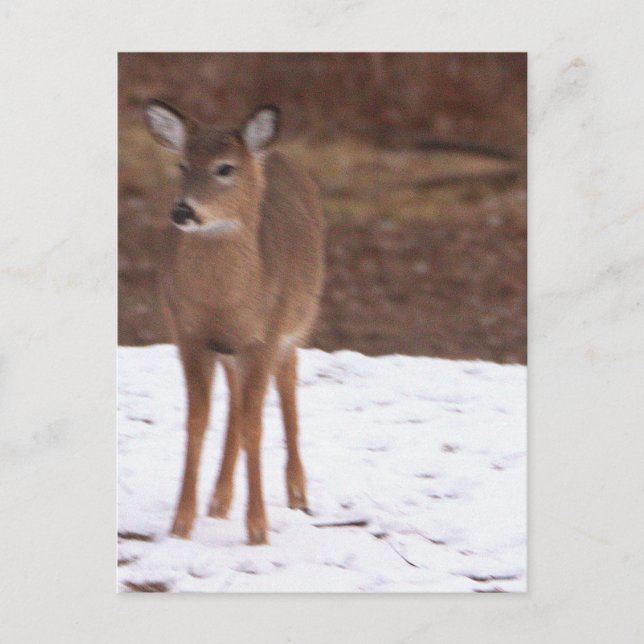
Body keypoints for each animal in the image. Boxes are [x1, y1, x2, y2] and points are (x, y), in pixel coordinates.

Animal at [143, 99, 325, 545]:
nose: (182, 210)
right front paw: (181, 523)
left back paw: (297, 491)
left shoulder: (264, 336)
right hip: (229, 350)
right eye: (182, 164)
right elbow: (198, 421)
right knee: (235, 406)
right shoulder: (189, 335)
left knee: (285, 384)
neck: (225, 303)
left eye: (225, 168)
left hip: (296, 322)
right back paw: (220, 499)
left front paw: (258, 529)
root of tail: (273, 153)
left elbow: (255, 425)